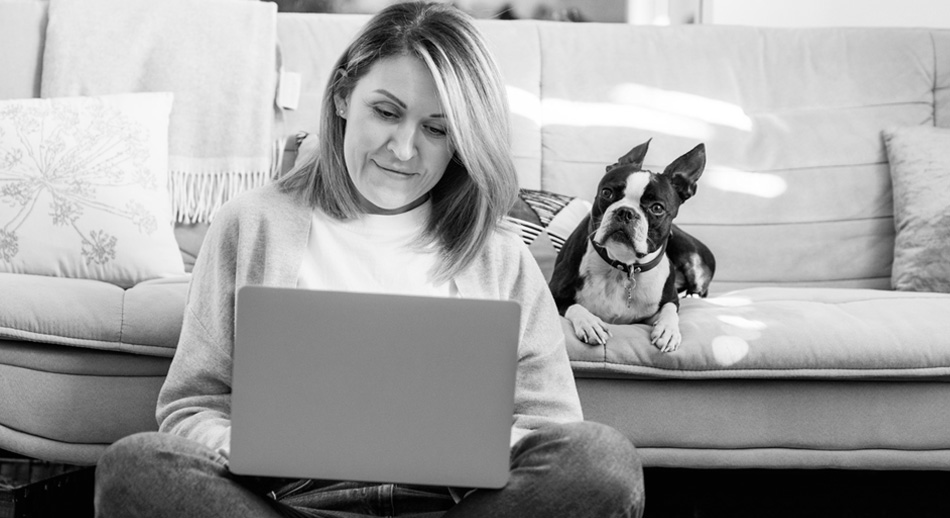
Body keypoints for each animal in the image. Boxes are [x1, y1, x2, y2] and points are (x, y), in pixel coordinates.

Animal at [552, 140, 712, 356]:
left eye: (657, 208)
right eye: (607, 192)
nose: (625, 212)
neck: (623, 265)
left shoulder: (667, 301)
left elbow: (670, 310)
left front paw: (668, 331)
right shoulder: (554, 293)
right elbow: (574, 307)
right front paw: (590, 323)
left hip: (693, 258)